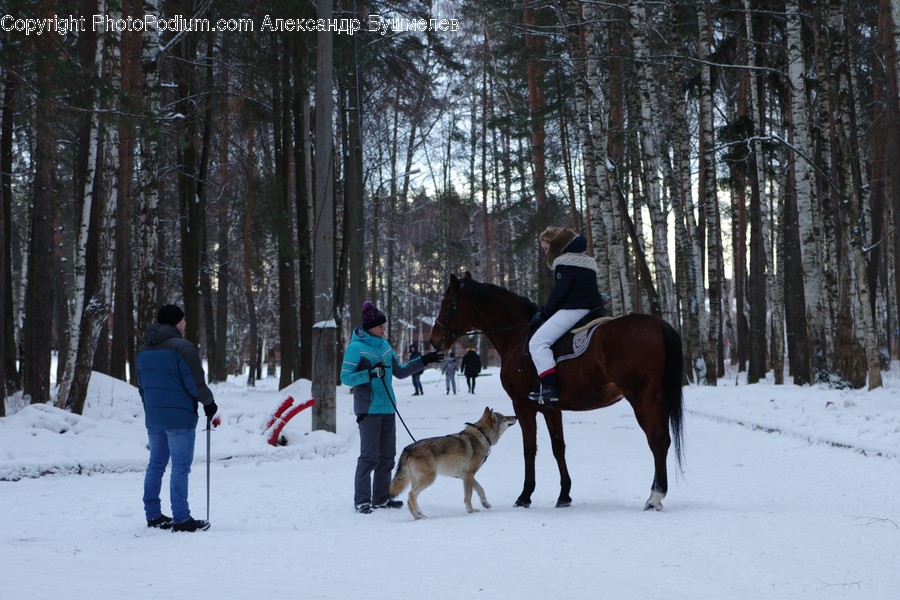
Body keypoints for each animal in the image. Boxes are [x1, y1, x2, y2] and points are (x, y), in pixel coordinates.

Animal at [429, 272, 685, 511]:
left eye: (446, 303)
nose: (433, 340)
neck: (517, 336)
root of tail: (659, 325)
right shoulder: (551, 408)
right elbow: (558, 447)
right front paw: (564, 495)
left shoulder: (523, 406)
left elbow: (529, 449)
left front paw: (525, 496)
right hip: (657, 400)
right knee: (664, 440)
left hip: (642, 400)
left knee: (656, 440)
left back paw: (655, 497)